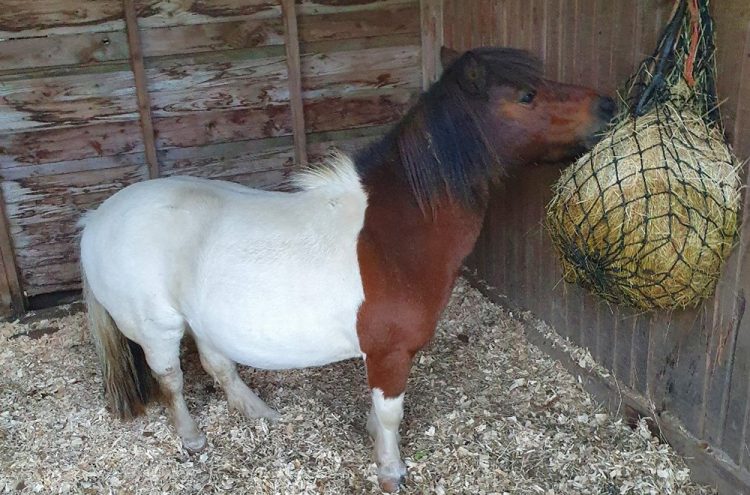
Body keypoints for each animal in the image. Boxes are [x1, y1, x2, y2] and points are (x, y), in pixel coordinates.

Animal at [79, 46, 615, 492]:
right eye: (527, 95)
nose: (609, 106)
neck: (394, 232)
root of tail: (95, 221)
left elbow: (380, 415)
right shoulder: (388, 355)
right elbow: (391, 414)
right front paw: (391, 471)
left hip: (204, 321)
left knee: (218, 365)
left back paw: (260, 413)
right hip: (158, 329)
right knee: (171, 379)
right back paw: (192, 439)